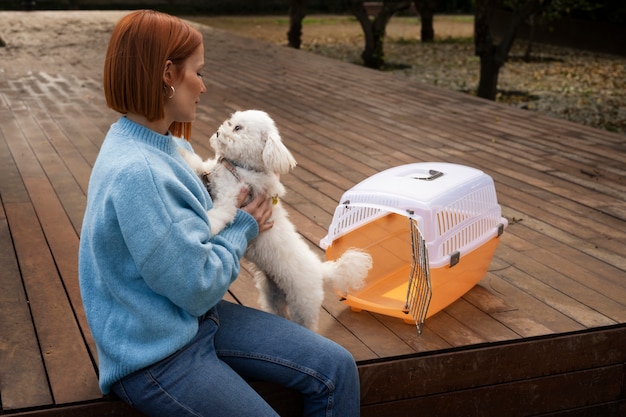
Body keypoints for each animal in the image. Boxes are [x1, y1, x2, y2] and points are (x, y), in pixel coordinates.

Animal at [180, 109, 370, 328]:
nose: (218, 133)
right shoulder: (211, 170)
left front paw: (205, 227)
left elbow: (215, 217)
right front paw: (179, 149)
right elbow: (198, 164)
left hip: (303, 305)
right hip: (273, 294)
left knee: (307, 324)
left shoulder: (229, 202)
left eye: (238, 128)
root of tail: (321, 270)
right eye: (230, 122)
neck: (240, 168)